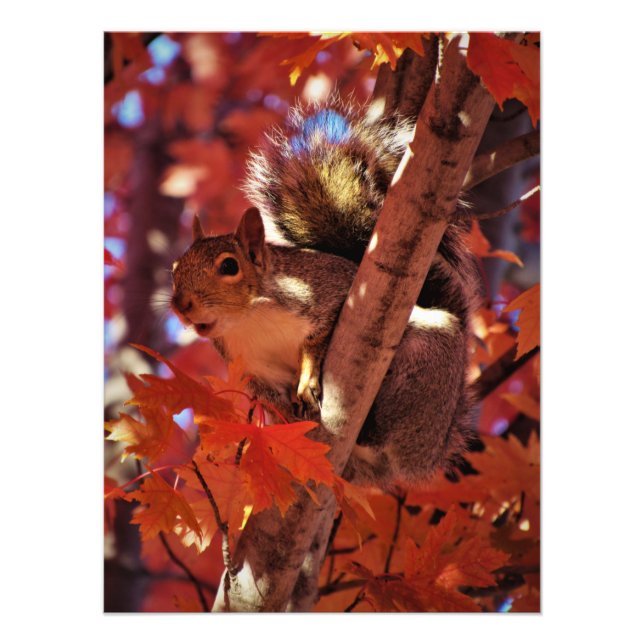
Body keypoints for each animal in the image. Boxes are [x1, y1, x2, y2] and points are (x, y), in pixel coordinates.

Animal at [170, 99, 480, 488]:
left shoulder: (327, 291)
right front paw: (288, 418)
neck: (248, 320)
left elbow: (316, 341)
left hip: (426, 363)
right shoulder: (253, 368)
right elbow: (272, 398)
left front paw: (306, 381)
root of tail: (431, 452)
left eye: (229, 266)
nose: (181, 305)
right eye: (174, 268)